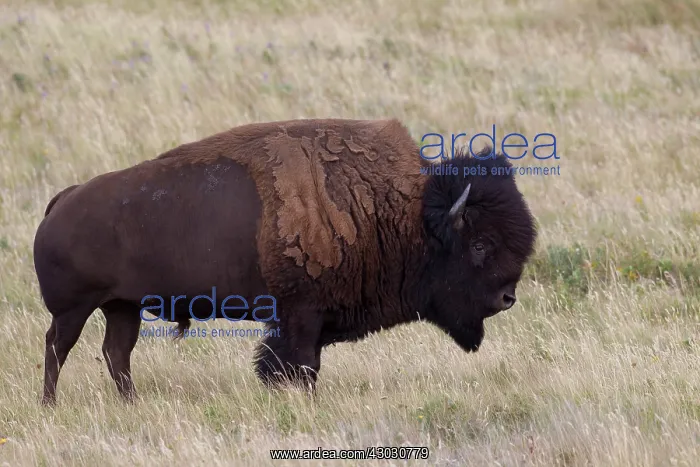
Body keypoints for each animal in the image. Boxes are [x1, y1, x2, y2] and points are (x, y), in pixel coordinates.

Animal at [33, 118, 537, 405]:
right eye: (479, 245)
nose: (507, 297)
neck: (400, 214)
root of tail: (63, 200)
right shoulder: (299, 318)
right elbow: (297, 366)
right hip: (75, 308)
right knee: (58, 347)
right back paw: (50, 405)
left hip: (122, 307)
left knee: (116, 353)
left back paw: (130, 405)